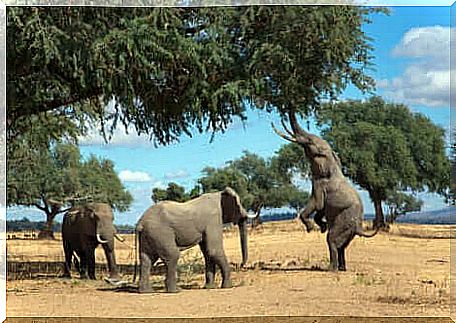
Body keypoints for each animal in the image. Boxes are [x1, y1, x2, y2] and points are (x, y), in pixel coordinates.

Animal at [274, 114, 378, 274]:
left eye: (310, 142)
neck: (332, 161)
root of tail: (359, 227)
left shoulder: (320, 184)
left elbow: (316, 204)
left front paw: (311, 228)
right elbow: (321, 209)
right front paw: (321, 227)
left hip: (344, 222)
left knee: (332, 241)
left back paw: (331, 269)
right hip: (348, 229)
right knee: (342, 247)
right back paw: (342, 268)